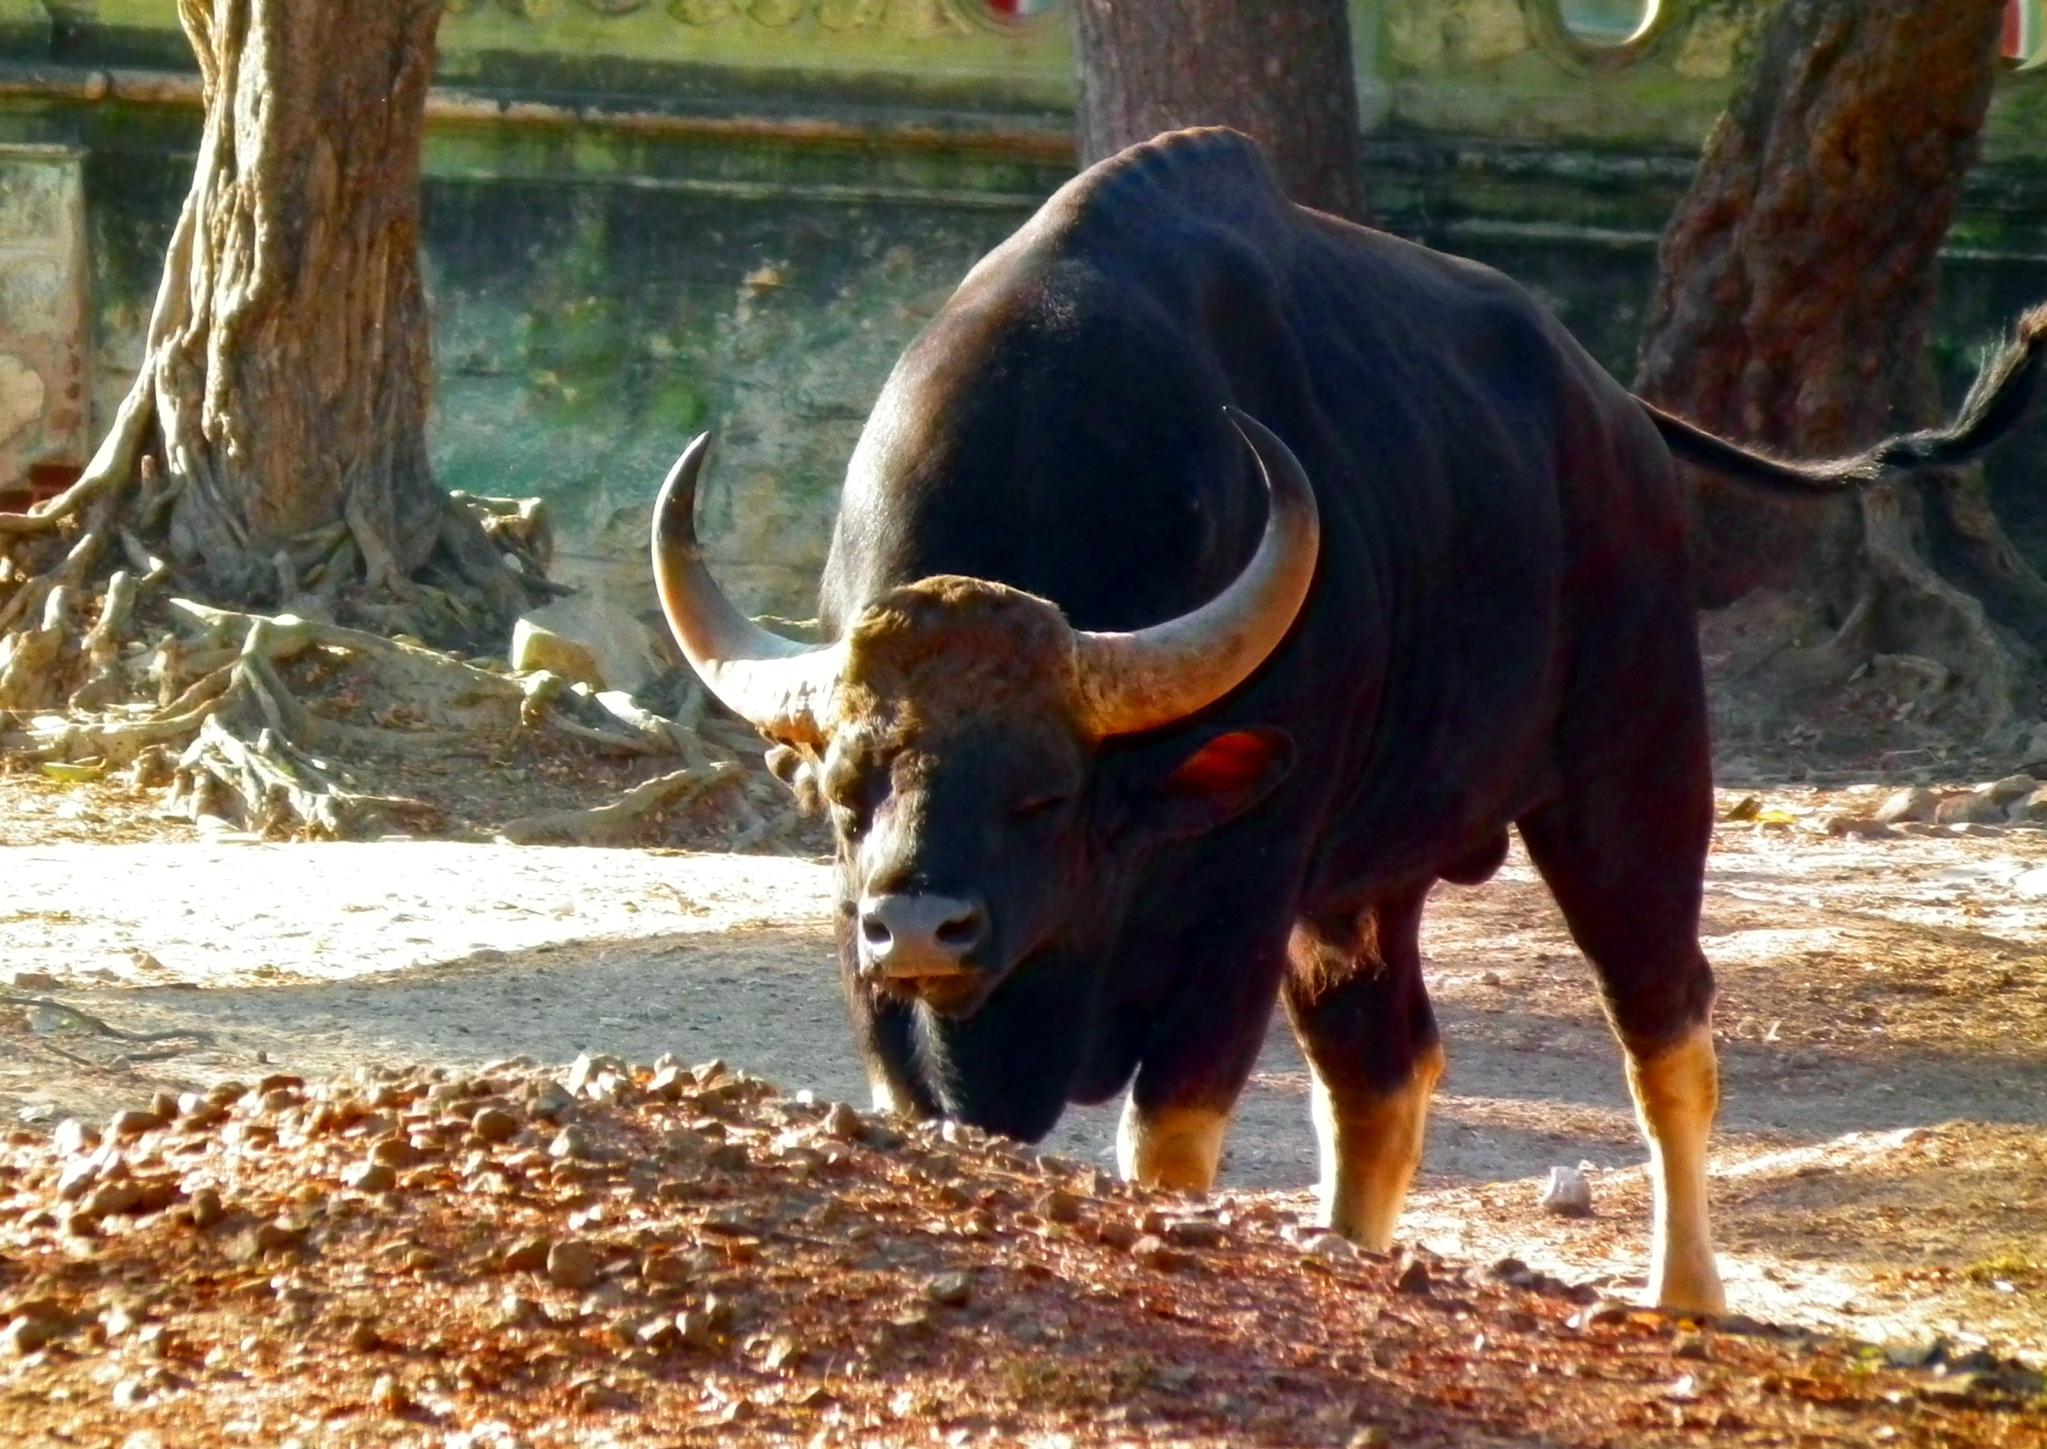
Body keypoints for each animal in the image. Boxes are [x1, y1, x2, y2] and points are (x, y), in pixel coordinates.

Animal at [646, 133, 2038, 1309]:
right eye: (848, 795)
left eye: (1043, 793)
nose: (921, 925)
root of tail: (1615, 417)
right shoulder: (886, 983)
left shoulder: (1240, 899)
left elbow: (1168, 1136)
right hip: (1364, 887)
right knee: (1384, 1068)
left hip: (1635, 778)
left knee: (1665, 1028)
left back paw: (1685, 1295)